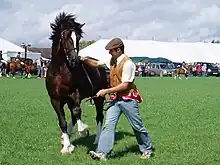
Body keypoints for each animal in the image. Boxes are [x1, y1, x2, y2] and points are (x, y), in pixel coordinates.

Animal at [45, 11, 108, 155]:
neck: (60, 73)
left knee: (99, 116)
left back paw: (97, 140)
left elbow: (77, 111)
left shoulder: (75, 95)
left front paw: (83, 131)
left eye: (78, 38)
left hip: (99, 97)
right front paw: (66, 146)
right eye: (65, 37)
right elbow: (62, 121)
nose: (74, 60)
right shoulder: (55, 100)